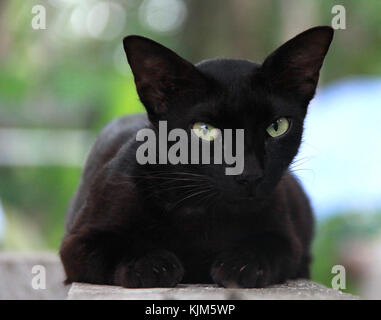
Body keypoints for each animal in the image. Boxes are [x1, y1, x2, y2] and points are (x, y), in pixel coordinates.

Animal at [59, 26, 332, 288]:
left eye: (277, 127)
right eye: (204, 130)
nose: (251, 174)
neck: (204, 213)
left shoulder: (287, 238)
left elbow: (268, 246)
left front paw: (241, 264)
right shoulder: (78, 242)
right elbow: (118, 246)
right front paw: (151, 264)